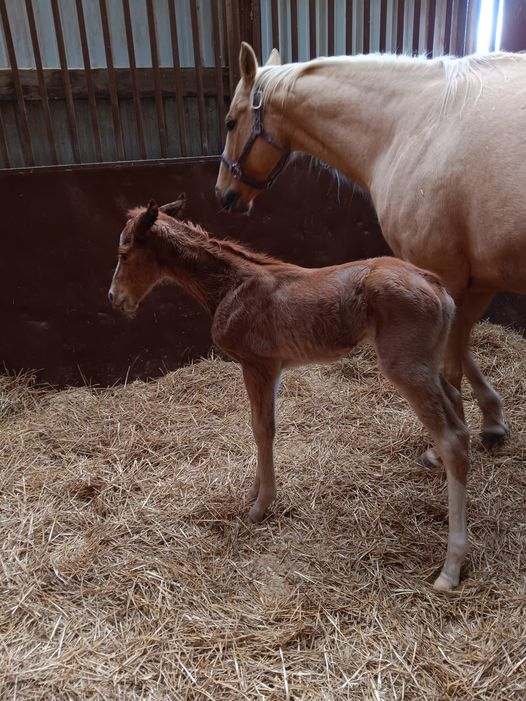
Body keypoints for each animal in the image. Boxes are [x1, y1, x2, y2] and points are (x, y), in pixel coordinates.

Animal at [108, 194, 470, 590]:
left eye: (124, 253)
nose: (114, 298)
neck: (232, 286)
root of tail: (437, 286)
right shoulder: (275, 367)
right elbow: (263, 425)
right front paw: (254, 490)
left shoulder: (258, 364)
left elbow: (261, 429)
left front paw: (260, 505)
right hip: (426, 365)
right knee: (458, 410)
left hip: (406, 368)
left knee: (452, 438)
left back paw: (451, 567)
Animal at [215, 42, 526, 460]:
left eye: (231, 122)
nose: (224, 193)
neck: (412, 125)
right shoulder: (476, 282)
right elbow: (460, 350)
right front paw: (492, 420)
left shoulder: (443, 274)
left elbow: (449, 366)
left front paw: (445, 444)